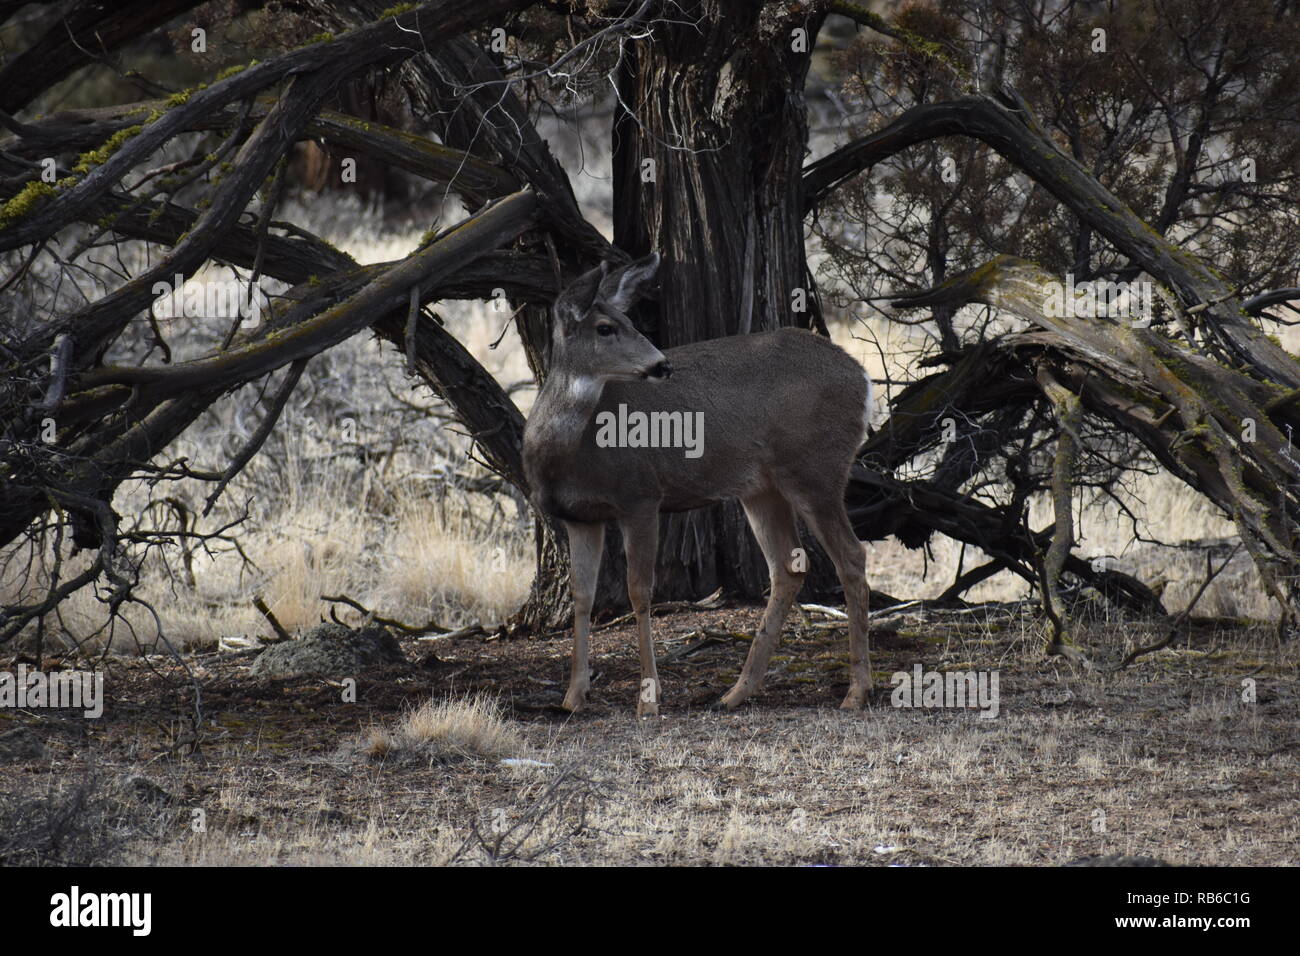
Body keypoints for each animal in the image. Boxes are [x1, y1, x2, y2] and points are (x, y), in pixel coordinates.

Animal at [522, 252, 873, 716]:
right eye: (605, 327)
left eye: (629, 319)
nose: (661, 364)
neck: (570, 452)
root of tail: (863, 379)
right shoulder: (580, 517)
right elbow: (583, 595)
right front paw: (573, 697)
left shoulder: (641, 495)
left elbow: (639, 592)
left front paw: (648, 700)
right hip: (761, 487)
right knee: (787, 566)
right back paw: (737, 691)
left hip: (816, 468)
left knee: (851, 555)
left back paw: (856, 691)